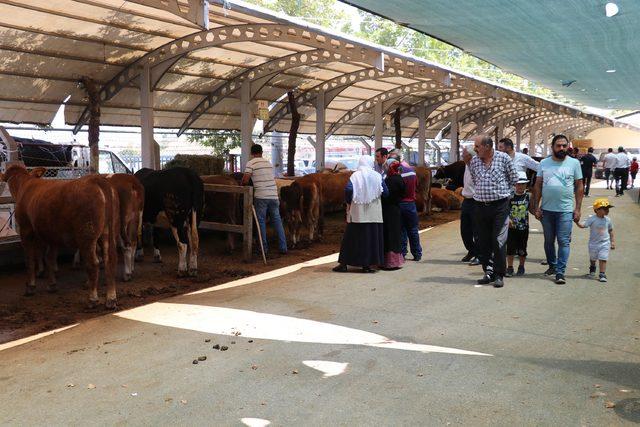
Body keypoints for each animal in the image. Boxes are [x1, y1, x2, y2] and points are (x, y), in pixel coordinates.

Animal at [1, 166, 120, 310]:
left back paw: (92, 299)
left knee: (93, 264)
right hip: (109, 231)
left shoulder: (26, 230)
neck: (25, 184)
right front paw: (52, 285)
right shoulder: (52, 235)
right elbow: (50, 258)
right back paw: (111, 299)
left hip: (87, 235)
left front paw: (30, 286)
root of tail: (98, 180)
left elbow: (30, 260)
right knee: (110, 260)